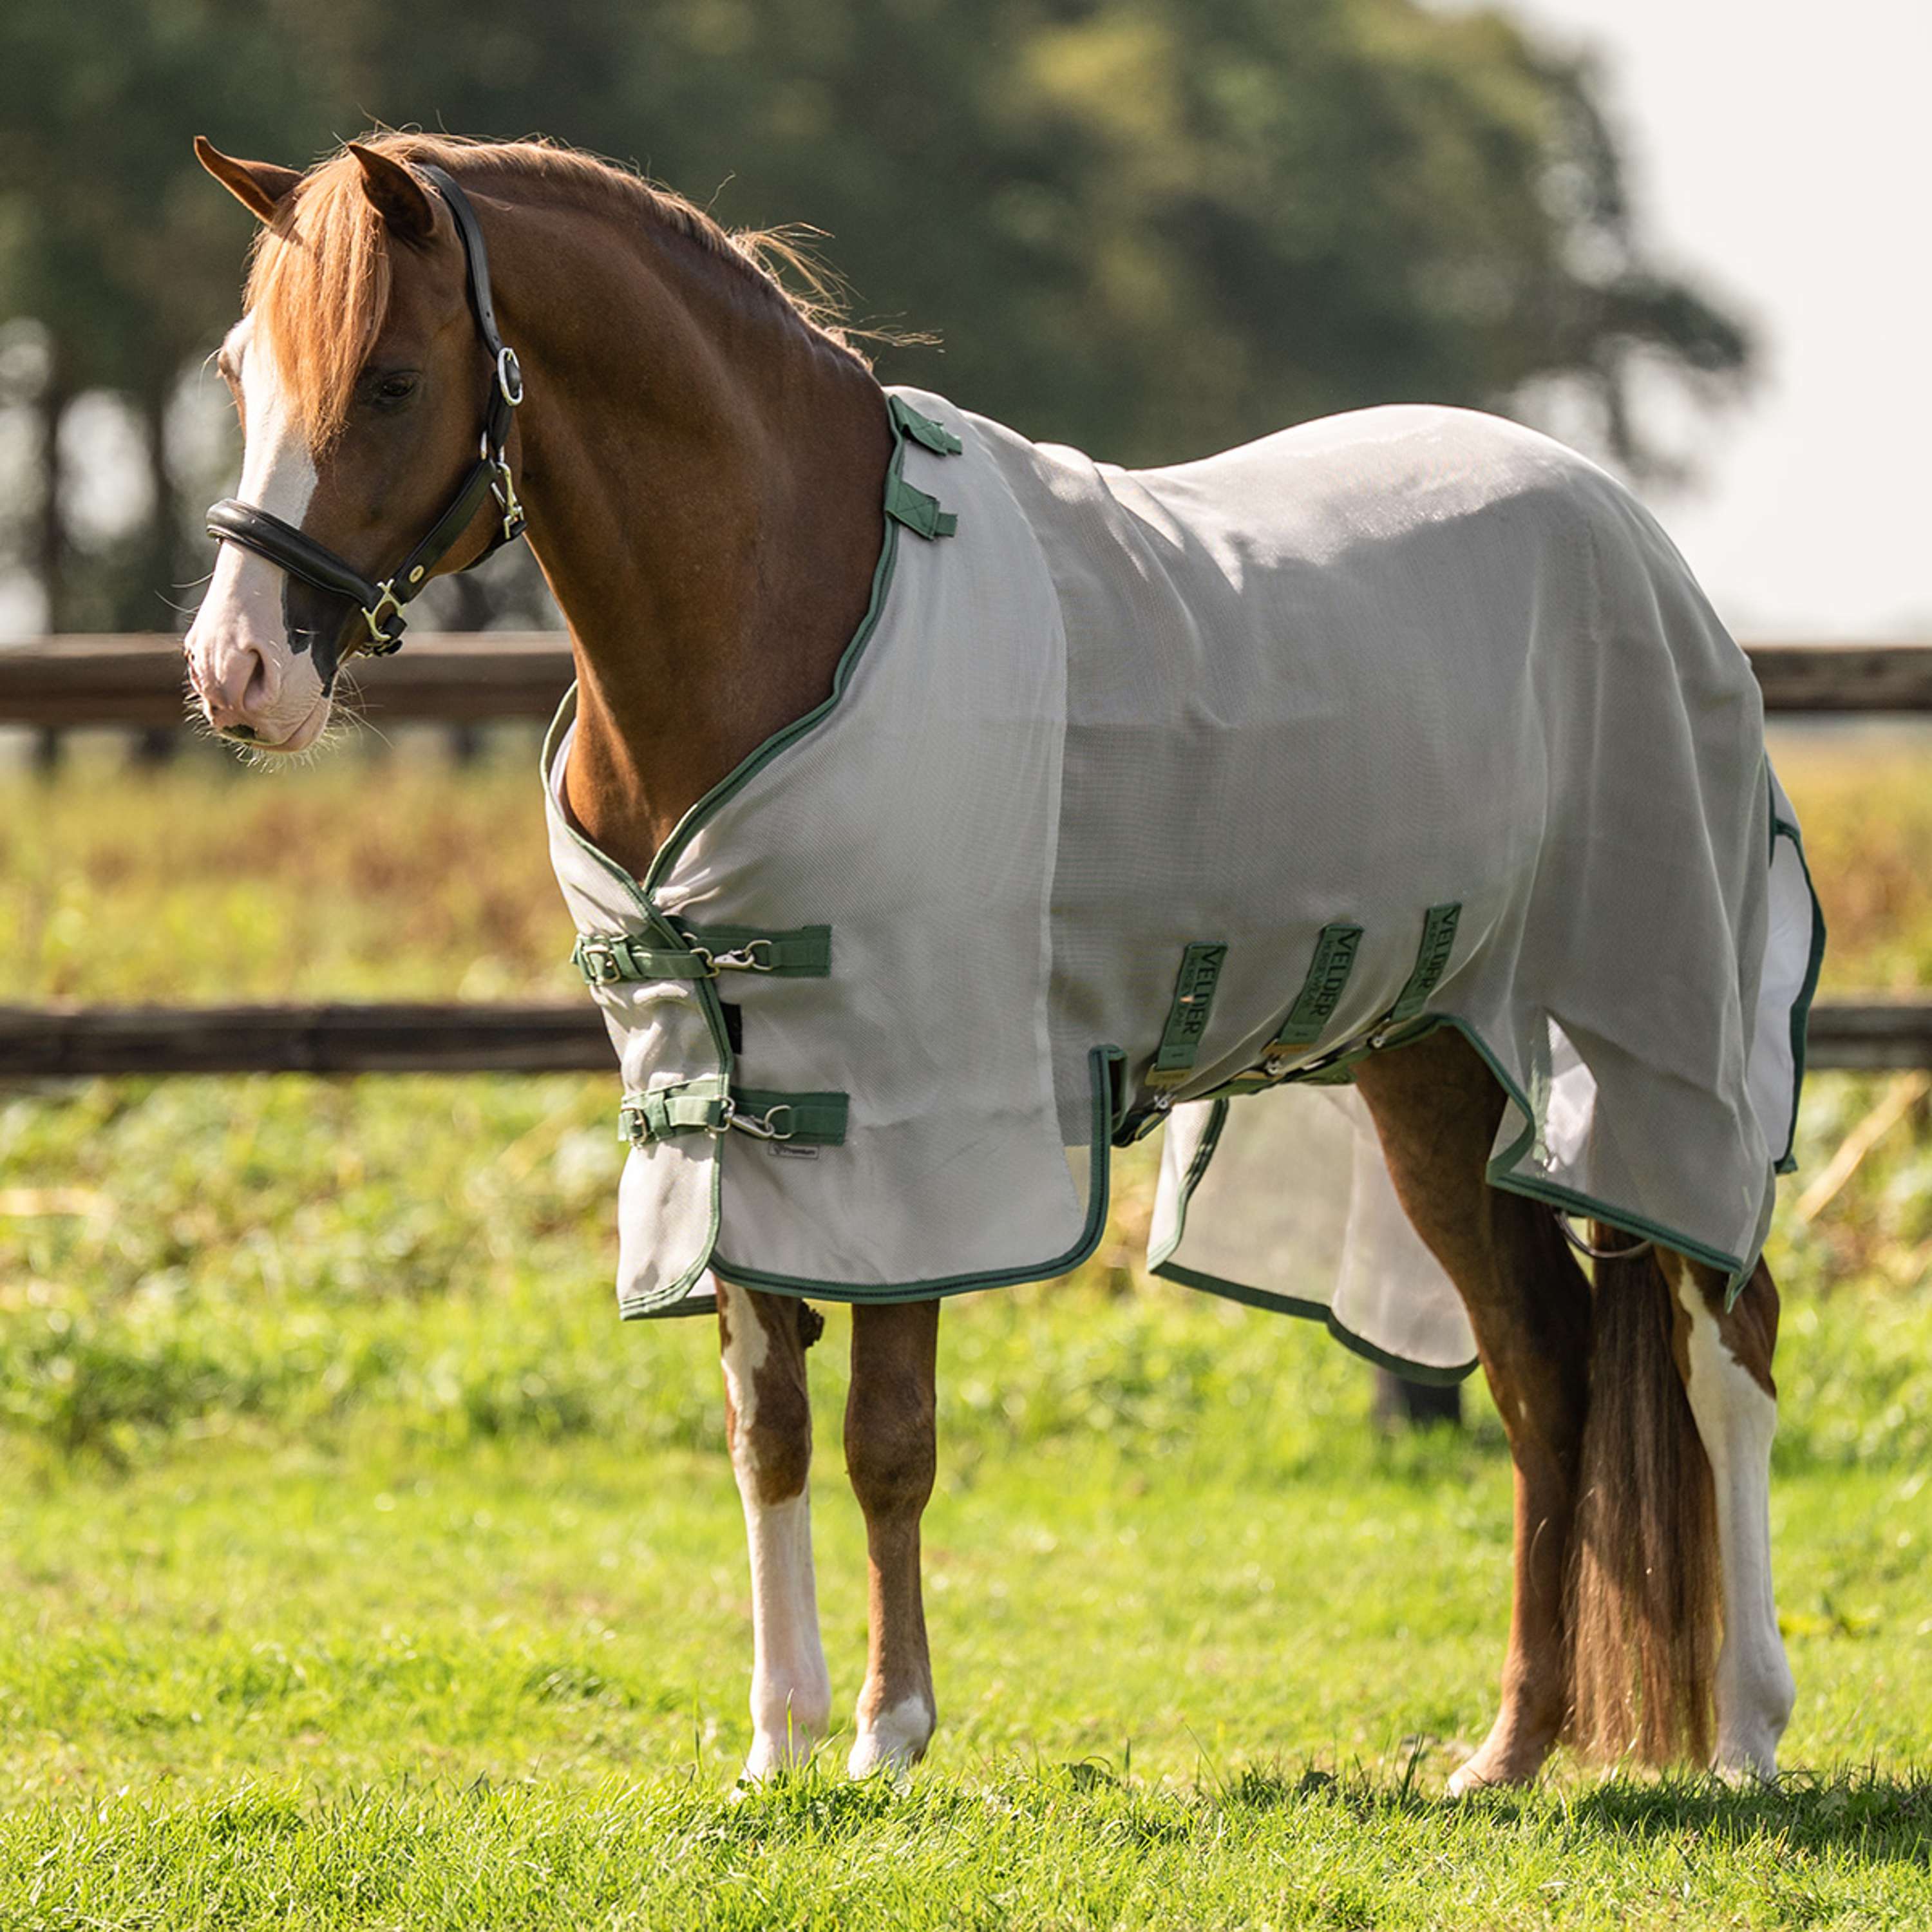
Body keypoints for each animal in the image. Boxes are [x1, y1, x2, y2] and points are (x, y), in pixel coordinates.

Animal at [183, 131, 1800, 1792]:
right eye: (240, 370)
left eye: (388, 379)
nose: (235, 673)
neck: (780, 603)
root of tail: (1629, 540)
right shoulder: (717, 1097)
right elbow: (765, 1428)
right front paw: (776, 1740)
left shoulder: (913, 1115)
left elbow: (886, 1436)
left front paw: (888, 1734)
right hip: (1432, 1070)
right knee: (1546, 1374)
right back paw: (1511, 1747)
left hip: (1647, 1038)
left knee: (1724, 1346)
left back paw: (1745, 1727)